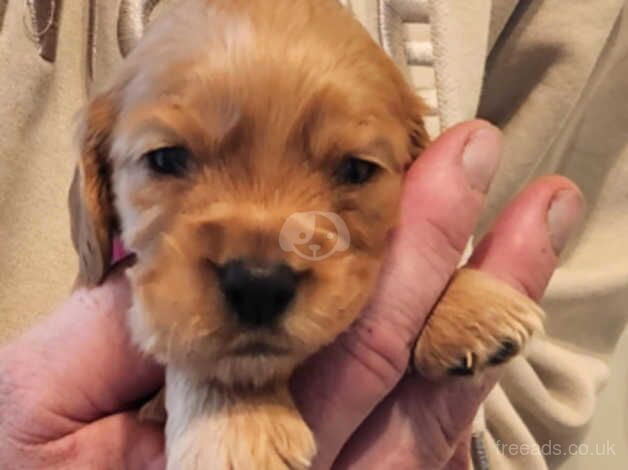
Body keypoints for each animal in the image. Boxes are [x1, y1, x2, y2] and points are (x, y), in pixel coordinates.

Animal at [67, 1, 540, 468]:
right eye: (165, 159)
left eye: (356, 169)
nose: (258, 285)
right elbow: (212, 358)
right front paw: (240, 425)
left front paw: (466, 303)